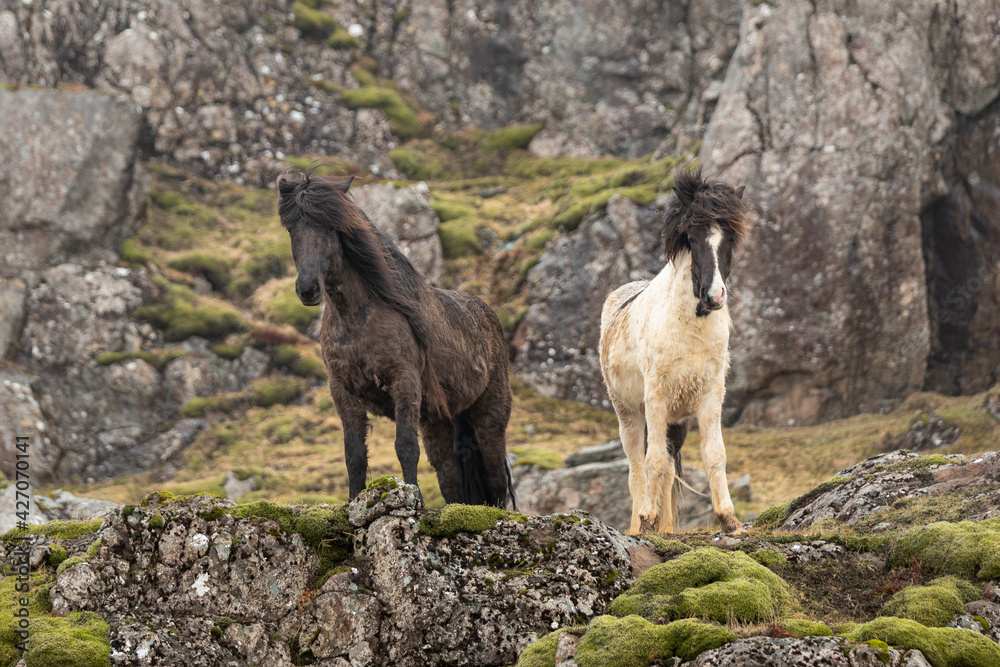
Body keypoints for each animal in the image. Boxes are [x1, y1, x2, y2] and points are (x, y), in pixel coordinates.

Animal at [280, 170, 516, 508]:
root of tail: (489, 316)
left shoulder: (403, 380)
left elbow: (405, 446)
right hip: (439, 421)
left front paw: (411, 499)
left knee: (496, 480)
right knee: (451, 479)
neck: (358, 316)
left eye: (330, 226)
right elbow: (354, 455)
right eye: (291, 228)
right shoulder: (343, 390)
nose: (308, 289)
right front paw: (353, 502)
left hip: (489, 416)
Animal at [592, 170, 752, 536]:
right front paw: (647, 519)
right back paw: (638, 525)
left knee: (665, 467)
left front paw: (729, 519)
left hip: (675, 423)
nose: (714, 296)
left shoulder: (710, 395)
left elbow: (714, 453)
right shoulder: (656, 398)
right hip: (629, 414)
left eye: (730, 239)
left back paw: (664, 528)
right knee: (637, 466)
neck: (689, 331)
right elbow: (651, 462)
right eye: (691, 238)